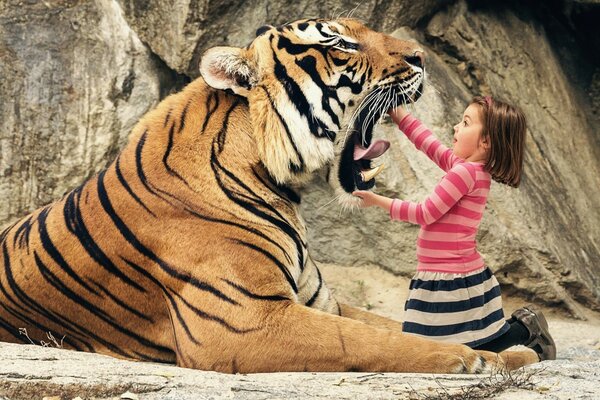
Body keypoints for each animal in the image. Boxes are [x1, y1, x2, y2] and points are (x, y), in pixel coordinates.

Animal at [0, 17, 540, 374]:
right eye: (341, 43)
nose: (421, 57)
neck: (278, 183)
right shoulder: (246, 323)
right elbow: (365, 341)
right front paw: (467, 356)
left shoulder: (319, 301)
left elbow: (389, 327)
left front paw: (512, 351)